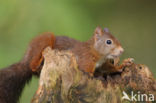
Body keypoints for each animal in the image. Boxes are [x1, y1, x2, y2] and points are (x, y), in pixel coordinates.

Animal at [0, 26, 129, 102]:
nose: (122, 50)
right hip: (45, 40)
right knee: (32, 66)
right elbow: (88, 72)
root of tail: (25, 60)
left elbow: (108, 68)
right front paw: (98, 77)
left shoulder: (102, 64)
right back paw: (37, 64)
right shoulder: (84, 61)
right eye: (109, 42)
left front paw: (121, 66)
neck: (95, 52)